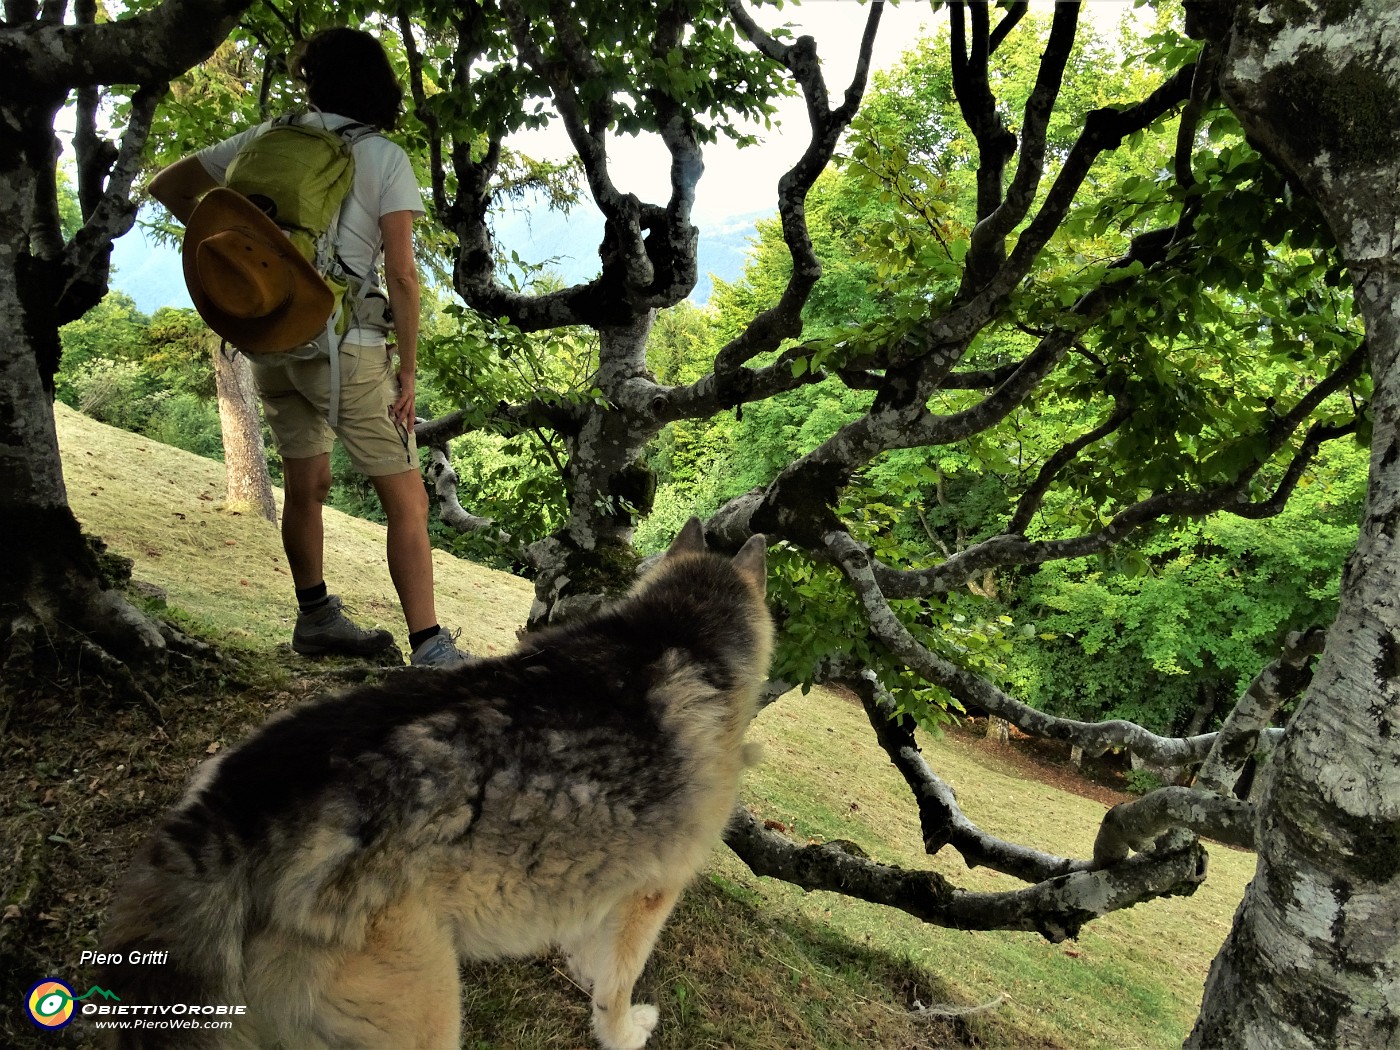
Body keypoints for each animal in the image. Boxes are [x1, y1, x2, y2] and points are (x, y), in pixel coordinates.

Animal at [95, 520, 778, 1050]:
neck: (681, 636)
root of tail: (234, 811)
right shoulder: (655, 893)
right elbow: (618, 985)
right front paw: (622, 1030)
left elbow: (591, 948)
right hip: (427, 1011)